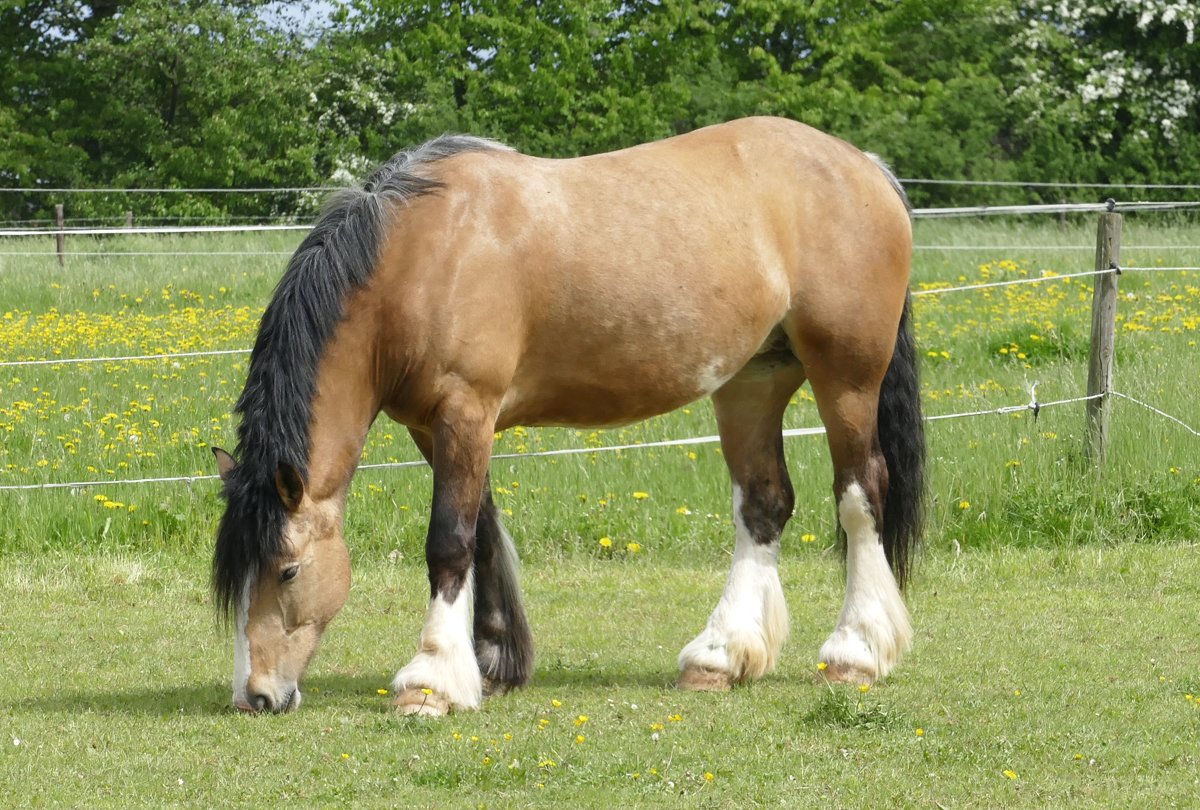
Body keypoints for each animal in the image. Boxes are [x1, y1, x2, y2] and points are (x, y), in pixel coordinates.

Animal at [211, 115, 921, 715]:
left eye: (288, 569)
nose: (256, 696)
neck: (423, 258)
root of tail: (866, 166)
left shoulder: (466, 410)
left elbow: (449, 542)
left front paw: (431, 680)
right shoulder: (435, 428)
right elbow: (483, 534)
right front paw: (494, 664)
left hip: (846, 379)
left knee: (860, 495)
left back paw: (855, 652)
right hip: (753, 381)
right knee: (763, 506)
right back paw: (719, 658)